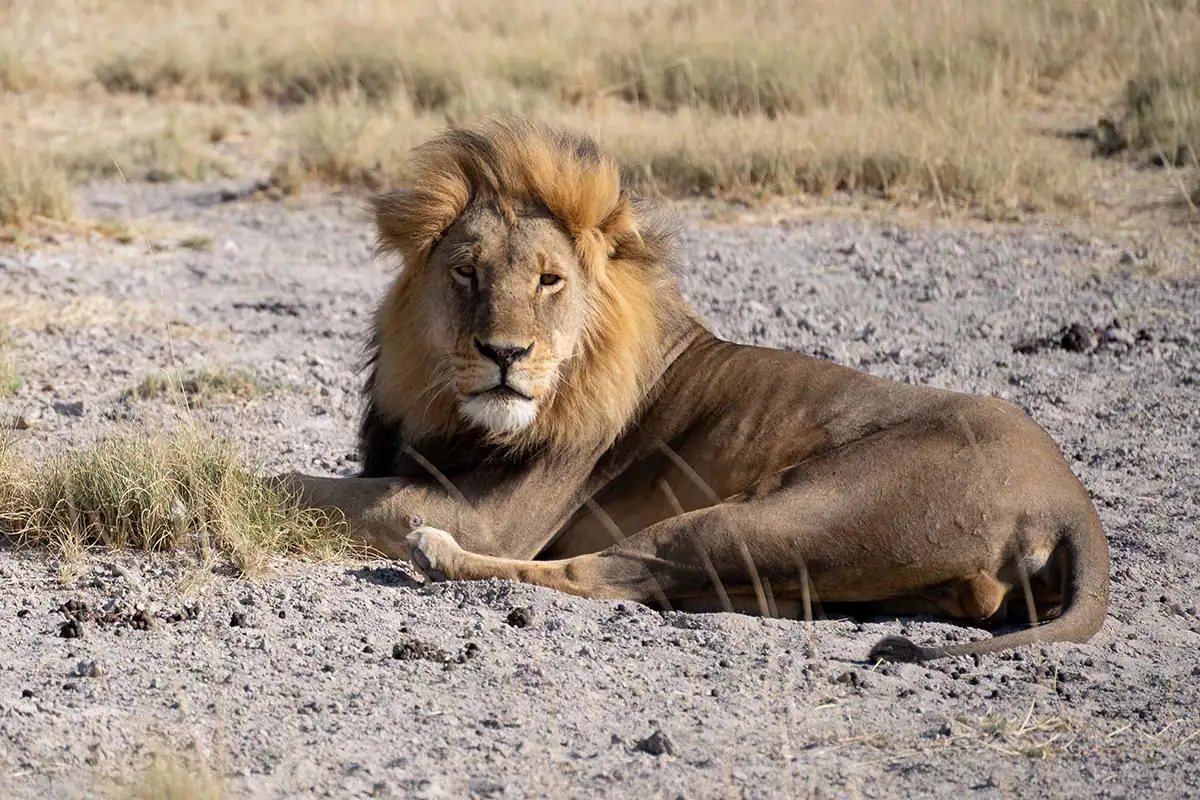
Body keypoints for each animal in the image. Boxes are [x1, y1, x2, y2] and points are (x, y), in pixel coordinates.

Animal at [283, 116, 1110, 663]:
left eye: (549, 280)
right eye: (466, 272)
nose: (505, 354)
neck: (446, 399)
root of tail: (1070, 499)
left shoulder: (496, 515)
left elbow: (301, 484)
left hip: (779, 514)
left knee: (606, 572)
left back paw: (436, 553)